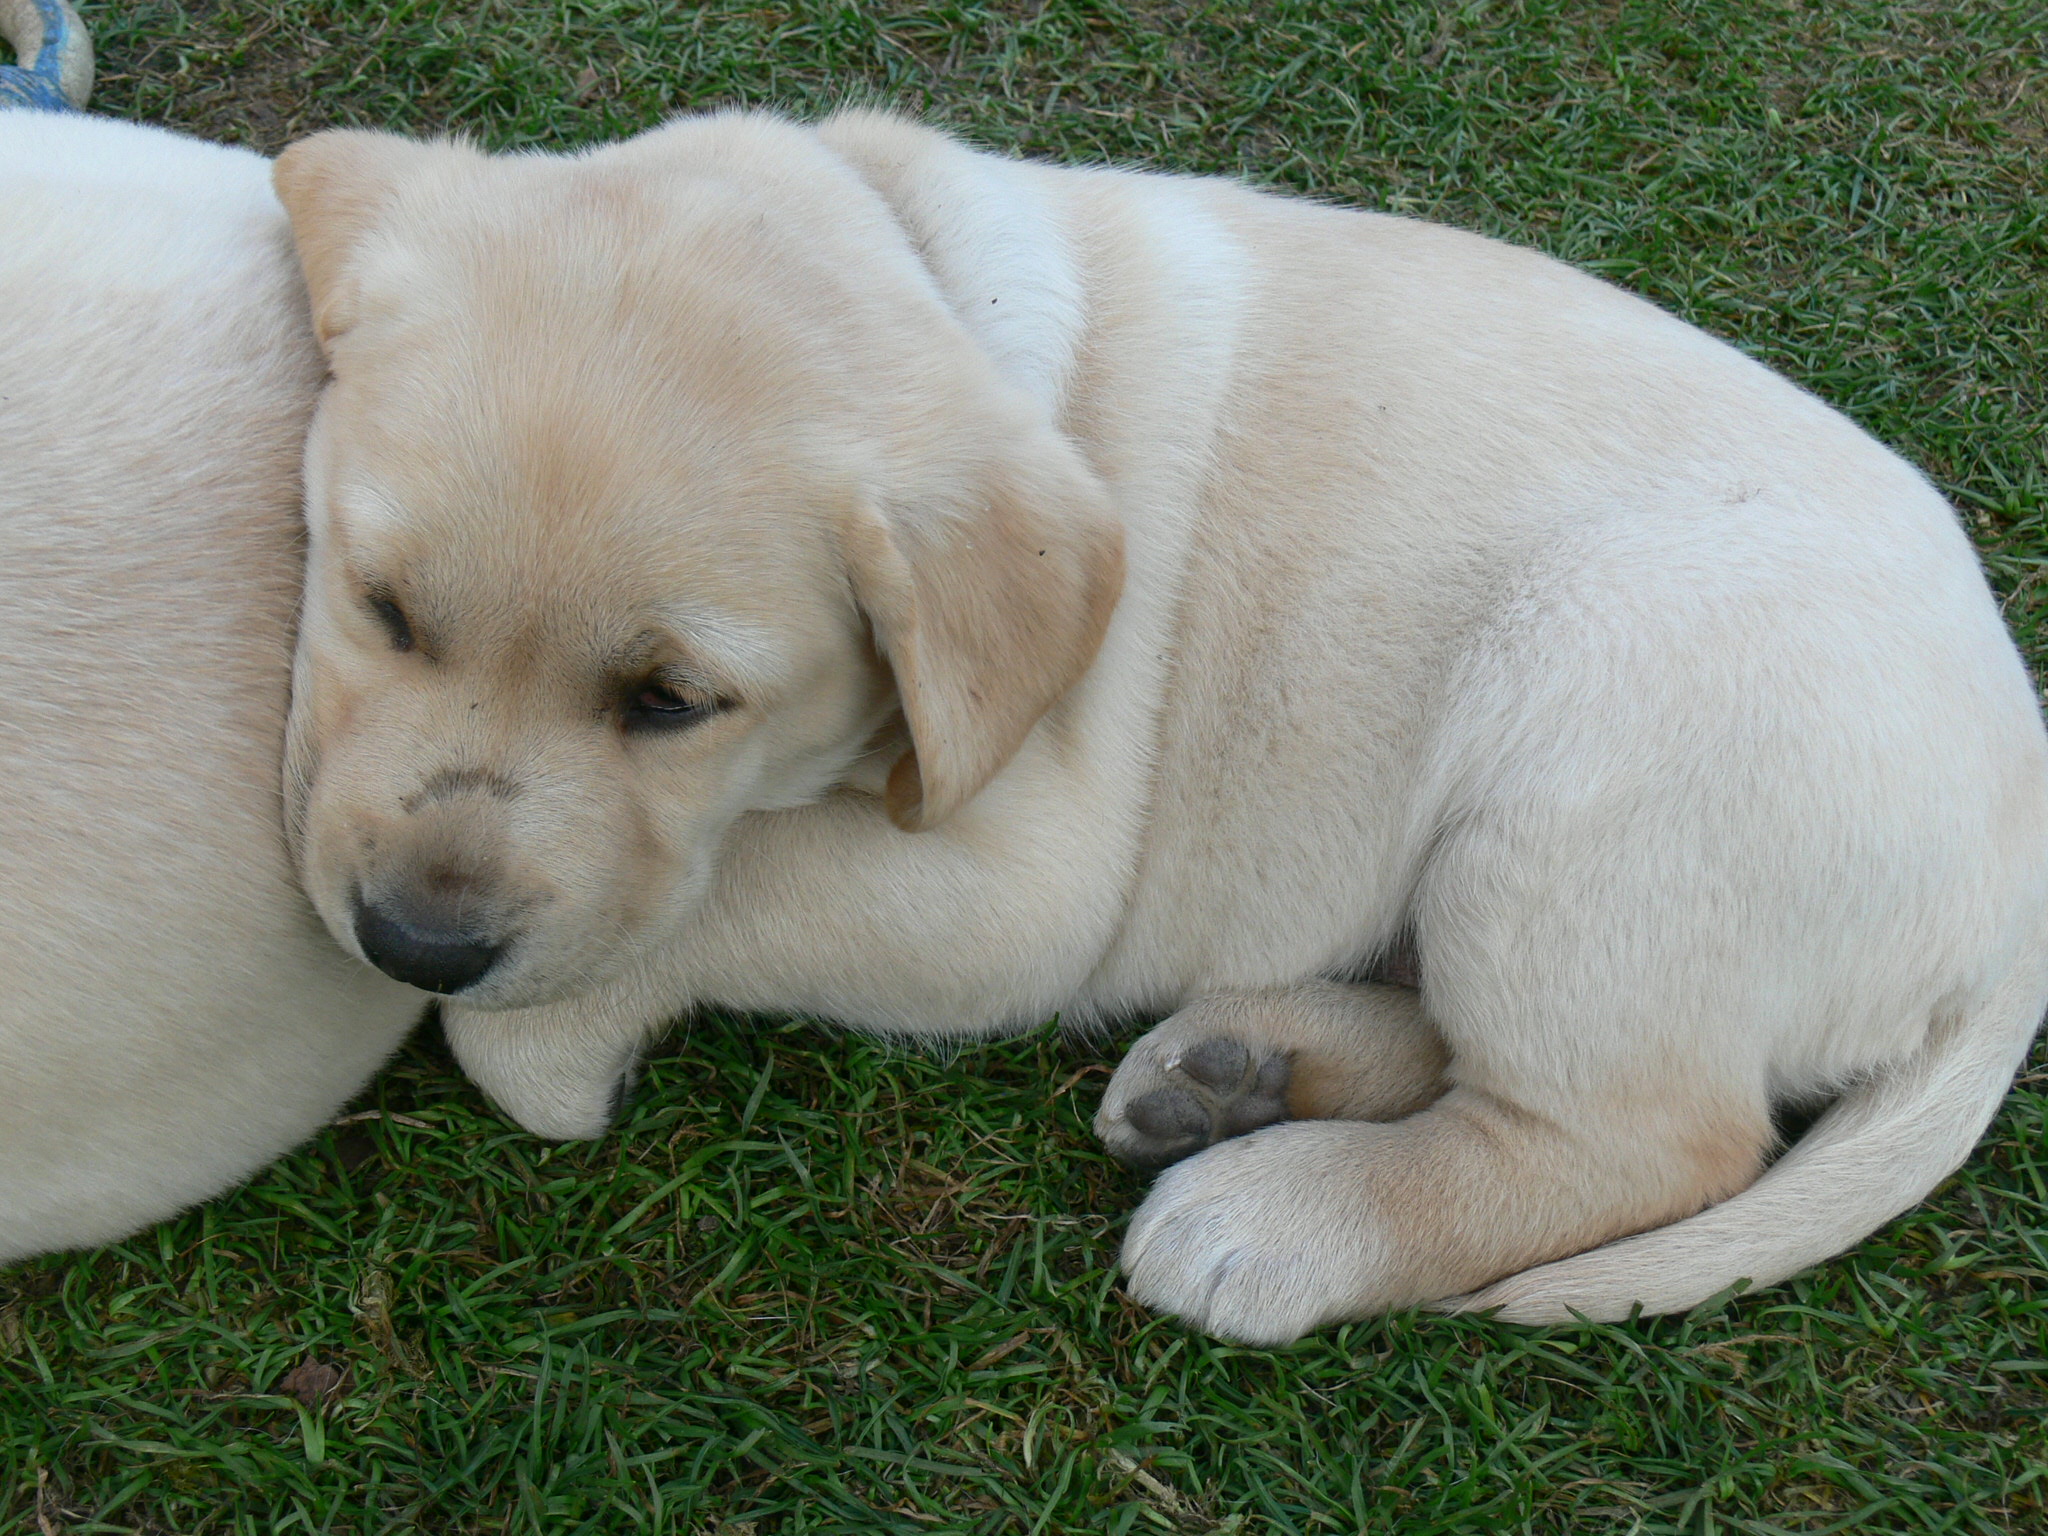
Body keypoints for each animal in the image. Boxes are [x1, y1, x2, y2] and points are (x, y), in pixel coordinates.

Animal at [268, 108, 2048, 1343]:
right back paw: (1240, 1066)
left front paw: (550, 1045)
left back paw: (1275, 1217)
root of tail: (2017, 906)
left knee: (1654, 1138)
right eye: (381, 609)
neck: (932, 265)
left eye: (671, 704)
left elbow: (690, 911)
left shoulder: (1019, 882)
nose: (414, 940)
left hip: (1601, 731)